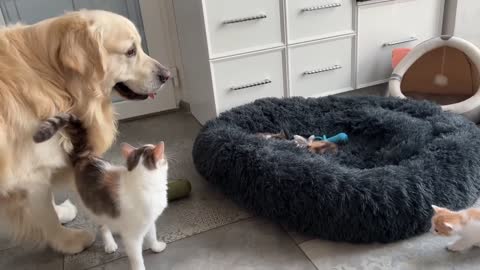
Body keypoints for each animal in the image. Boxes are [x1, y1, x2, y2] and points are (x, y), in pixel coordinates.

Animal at [0, 10, 171, 254]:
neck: (53, 80)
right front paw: (67, 241)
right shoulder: (32, 172)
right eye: (130, 51)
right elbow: (46, 213)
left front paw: (62, 213)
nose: (167, 75)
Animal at [34, 113, 169, 270]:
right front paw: (139, 267)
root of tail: (85, 158)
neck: (140, 182)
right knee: (103, 227)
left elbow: (152, 235)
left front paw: (156, 247)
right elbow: (136, 257)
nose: (166, 158)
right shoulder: (132, 236)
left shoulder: (149, 221)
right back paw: (110, 244)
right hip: (92, 207)